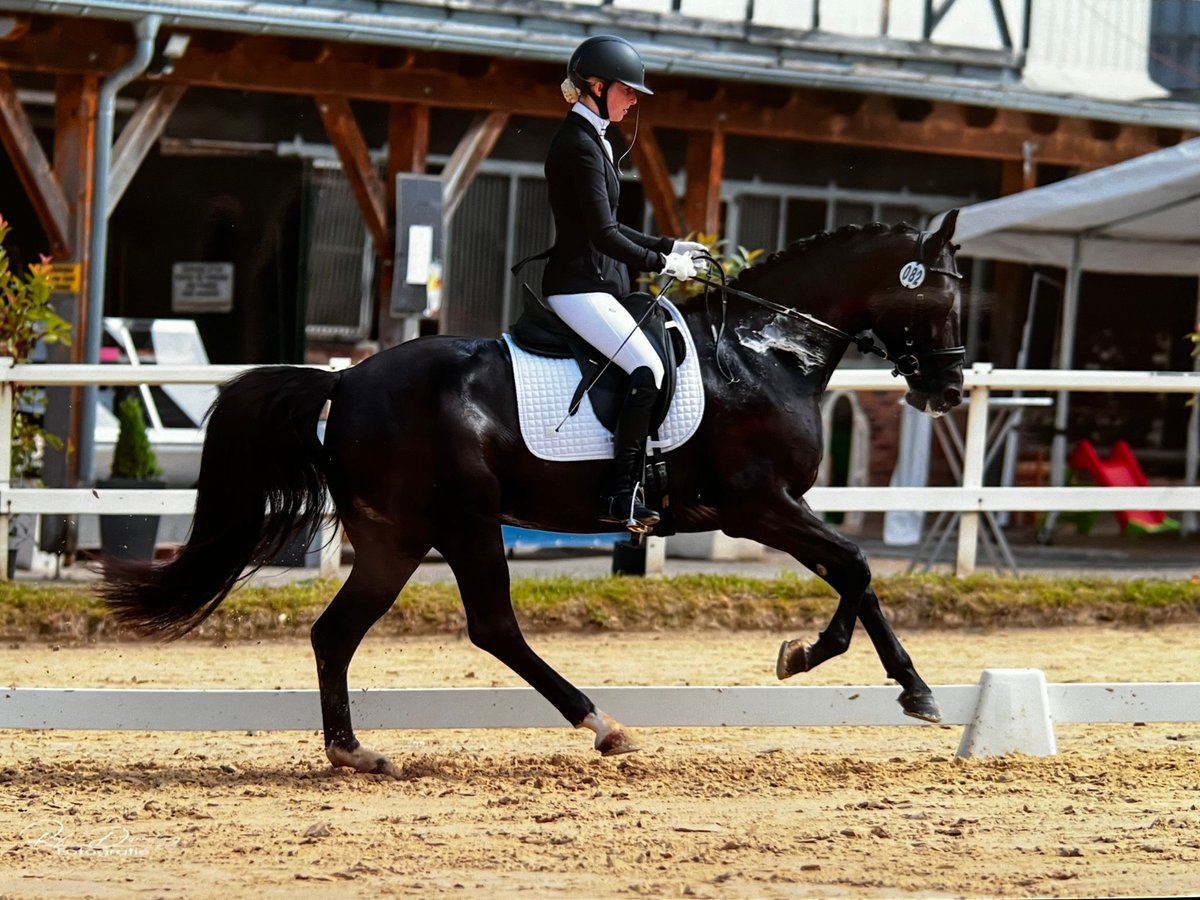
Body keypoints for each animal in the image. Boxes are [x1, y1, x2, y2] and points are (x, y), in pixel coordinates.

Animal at [103, 210, 964, 777]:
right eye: (943, 300)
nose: (949, 390)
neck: (763, 352)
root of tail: (345, 380)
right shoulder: (758, 504)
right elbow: (855, 565)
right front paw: (835, 664)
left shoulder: (777, 506)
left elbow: (854, 574)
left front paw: (893, 682)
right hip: (466, 521)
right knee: (492, 628)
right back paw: (603, 726)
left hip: (394, 537)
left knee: (335, 634)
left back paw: (353, 753)